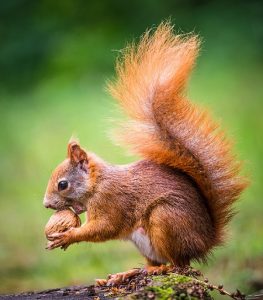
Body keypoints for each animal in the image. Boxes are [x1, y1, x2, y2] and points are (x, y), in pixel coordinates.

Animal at [43, 22, 248, 284]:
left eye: (63, 184)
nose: (46, 205)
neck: (97, 183)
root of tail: (205, 242)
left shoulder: (112, 201)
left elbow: (105, 227)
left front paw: (68, 236)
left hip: (165, 220)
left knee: (179, 265)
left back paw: (160, 270)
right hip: (147, 243)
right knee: (157, 262)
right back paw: (128, 273)